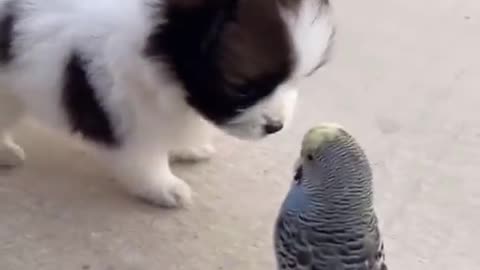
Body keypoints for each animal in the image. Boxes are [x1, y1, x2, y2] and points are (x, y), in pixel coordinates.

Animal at [0, 0, 336, 208]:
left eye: (298, 79)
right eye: (242, 88)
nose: (276, 126)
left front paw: (186, 147)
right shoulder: (125, 111)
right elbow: (144, 156)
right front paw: (162, 187)